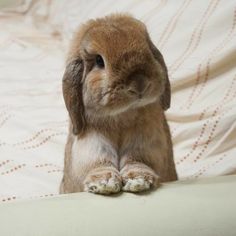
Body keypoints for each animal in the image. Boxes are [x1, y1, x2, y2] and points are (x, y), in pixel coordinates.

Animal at [59, 12, 177, 195]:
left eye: (149, 50)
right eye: (99, 61)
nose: (139, 83)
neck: (121, 116)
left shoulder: (146, 144)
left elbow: (138, 161)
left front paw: (138, 181)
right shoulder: (91, 146)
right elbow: (98, 164)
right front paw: (103, 183)